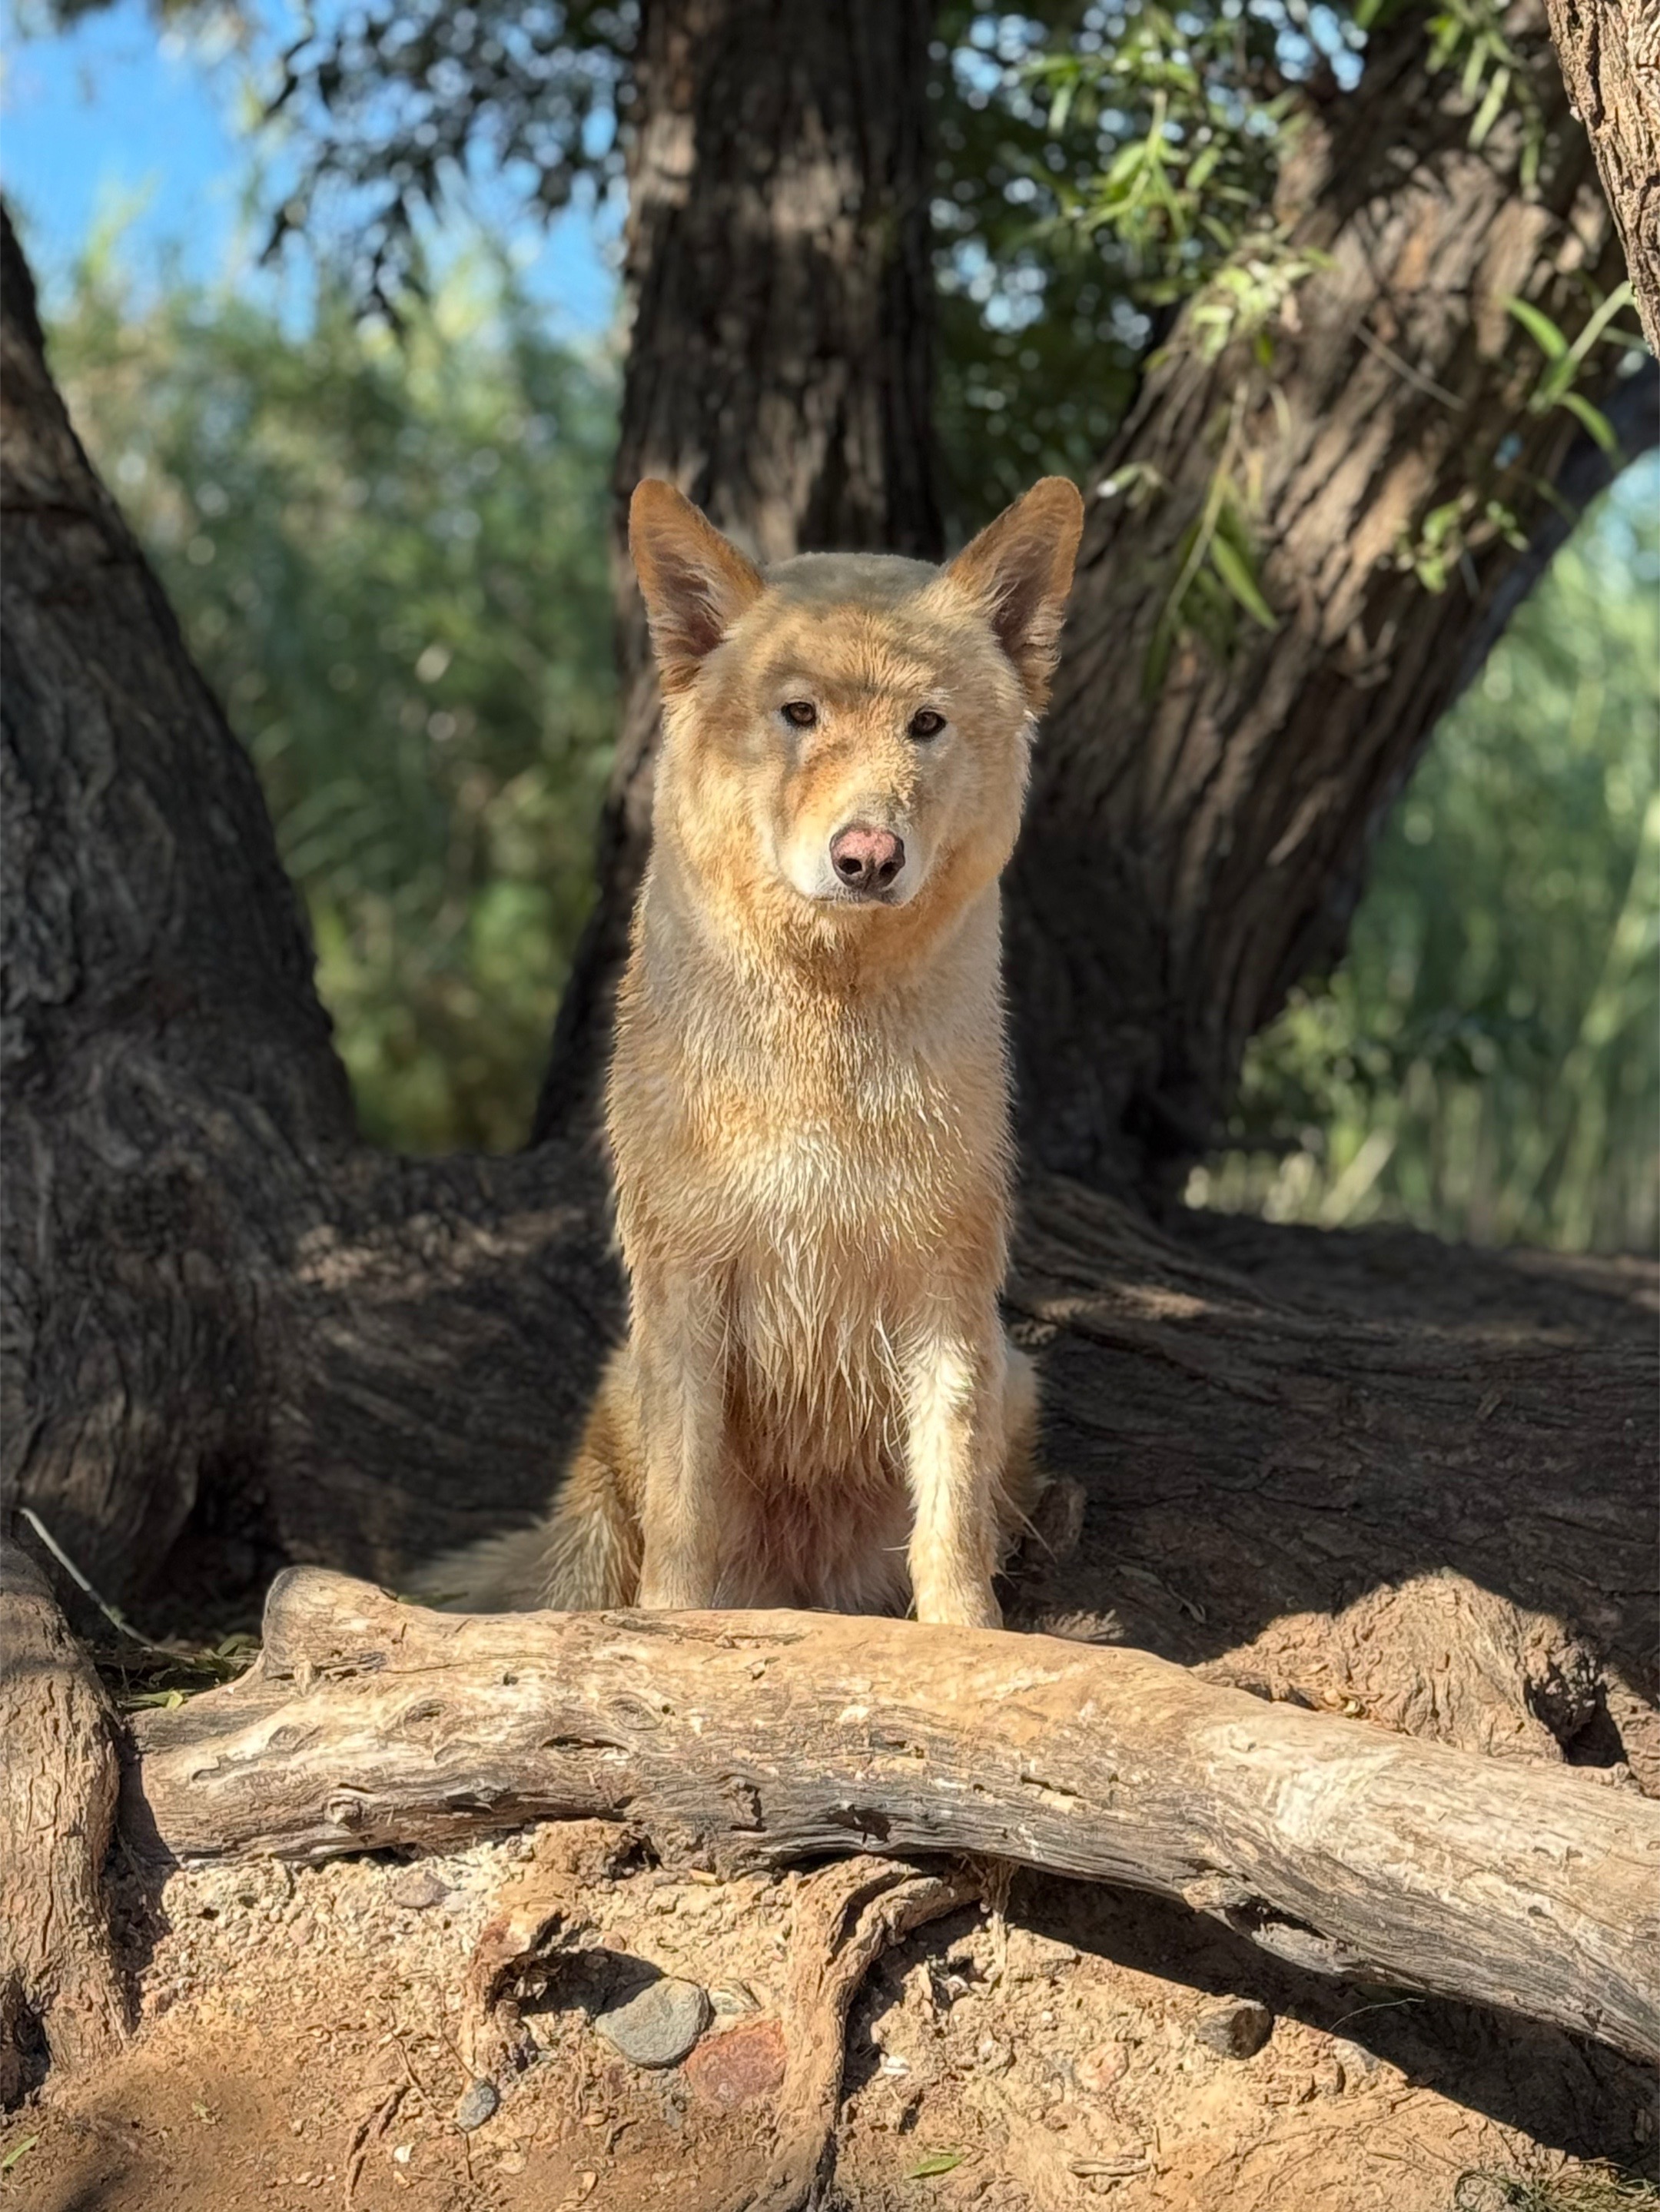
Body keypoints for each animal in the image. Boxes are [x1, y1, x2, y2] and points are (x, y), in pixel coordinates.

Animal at [424, 473, 1084, 1626]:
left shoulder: (948, 1288)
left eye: (925, 726)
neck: (823, 1033)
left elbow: (950, 1516)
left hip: (1018, 1380)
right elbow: (682, 1527)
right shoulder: (687, 1283)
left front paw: (973, 1639)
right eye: (800, 714)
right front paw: (674, 1633)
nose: (868, 856)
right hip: (617, 1408)